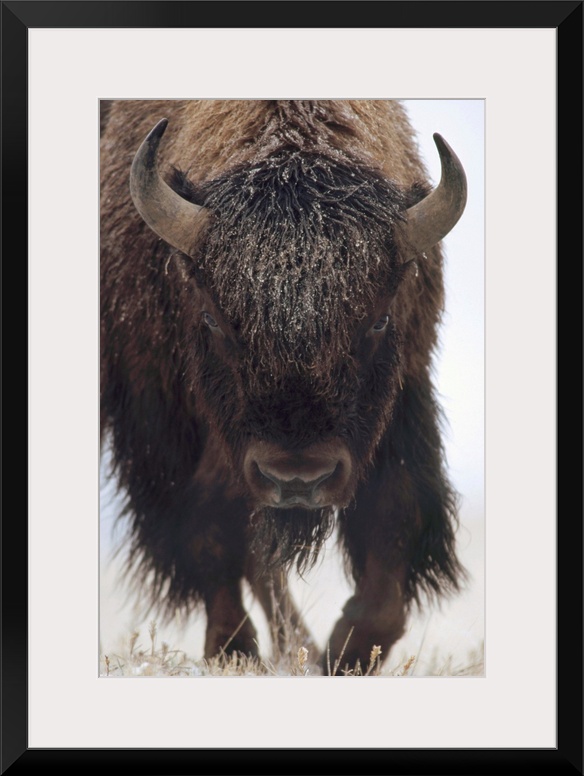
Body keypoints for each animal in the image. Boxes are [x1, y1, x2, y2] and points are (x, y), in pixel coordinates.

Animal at [99, 101, 466, 672]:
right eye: (212, 318)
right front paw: (232, 650)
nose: (297, 479)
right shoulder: (159, 418)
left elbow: (394, 520)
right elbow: (207, 531)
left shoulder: (404, 395)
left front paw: (344, 652)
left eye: (379, 321)